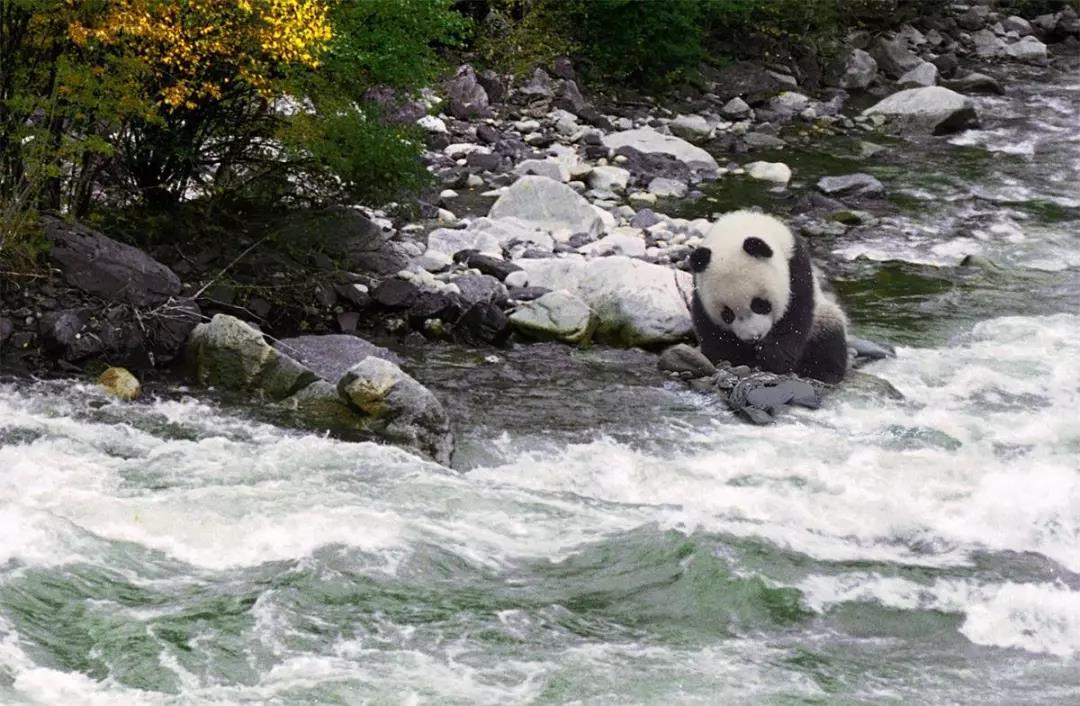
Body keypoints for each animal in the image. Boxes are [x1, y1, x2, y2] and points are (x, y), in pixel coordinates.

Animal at [686, 210, 846, 384]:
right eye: (727, 314)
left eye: (760, 304)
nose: (753, 337)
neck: (739, 227)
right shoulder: (699, 288)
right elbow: (711, 329)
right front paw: (730, 360)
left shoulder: (796, 270)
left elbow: (793, 320)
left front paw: (772, 361)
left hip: (823, 316)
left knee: (829, 340)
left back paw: (821, 372)